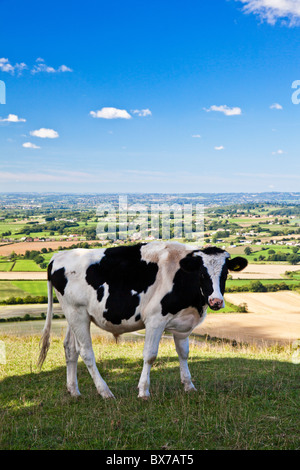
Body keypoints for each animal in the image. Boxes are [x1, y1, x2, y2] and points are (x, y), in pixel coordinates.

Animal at [37, 242, 247, 400]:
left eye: (225, 273)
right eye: (202, 273)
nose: (216, 301)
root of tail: (59, 255)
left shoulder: (182, 324)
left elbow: (184, 353)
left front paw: (189, 386)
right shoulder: (155, 320)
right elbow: (150, 355)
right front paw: (143, 391)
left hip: (74, 314)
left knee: (70, 348)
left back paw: (74, 391)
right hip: (77, 313)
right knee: (86, 352)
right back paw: (105, 392)